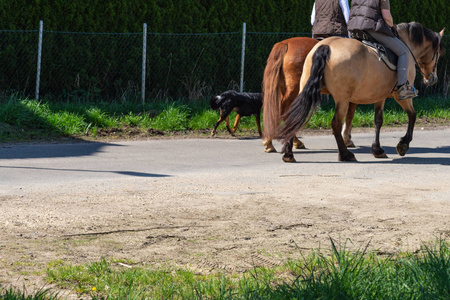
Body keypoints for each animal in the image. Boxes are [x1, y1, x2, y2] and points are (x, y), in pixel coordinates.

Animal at [278, 22, 442, 163]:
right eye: (438, 53)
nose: (432, 78)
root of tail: (326, 46)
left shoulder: (379, 96)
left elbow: (378, 121)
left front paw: (377, 150)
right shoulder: (401, 97)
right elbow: (412, 115)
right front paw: (403, 144)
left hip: (306, 91)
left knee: (294, 117)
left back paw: (288, 154)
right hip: (342, 99)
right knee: (335, 123)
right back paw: (345, 154)